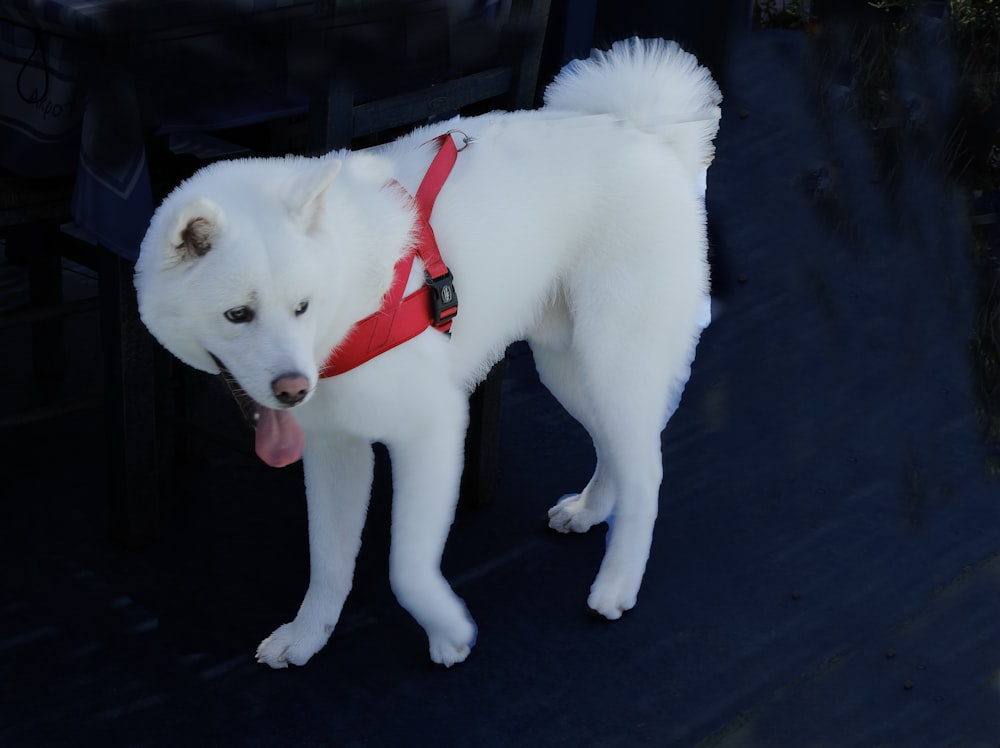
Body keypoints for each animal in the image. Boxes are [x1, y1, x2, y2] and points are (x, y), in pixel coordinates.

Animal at [137, 38, 724, 668]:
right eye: (238, 315)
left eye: (302, 306)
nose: (294, 389)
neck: (350, 295)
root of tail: (644, 132)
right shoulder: (335, 444)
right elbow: (329, 562)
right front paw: (308, 635)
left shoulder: (433, 428)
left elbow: (405, 567)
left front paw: (449, 632)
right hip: (569, 366)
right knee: (624, 449)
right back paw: (590, 510)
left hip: (612, 357)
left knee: (648, 471)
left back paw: (616, 585)